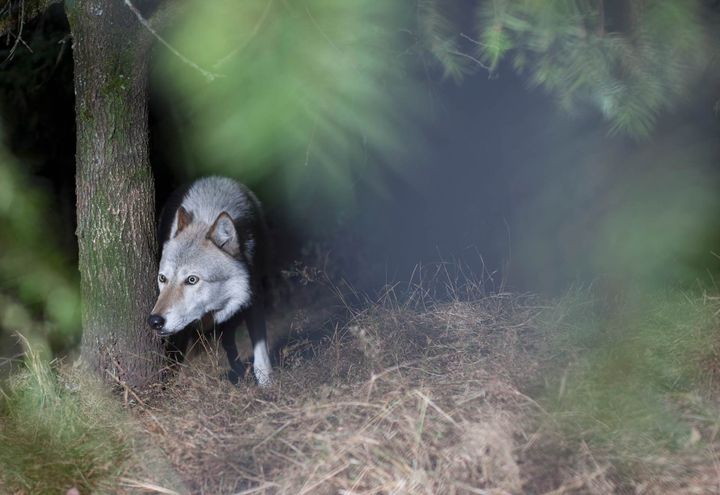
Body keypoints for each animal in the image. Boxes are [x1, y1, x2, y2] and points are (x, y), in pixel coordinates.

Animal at [147, 176, 272, 386]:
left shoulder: (254, 297)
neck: (207, 216)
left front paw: (267, 382)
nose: (154, 321)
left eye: (191, 280)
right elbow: (175, 354)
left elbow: (260, 345)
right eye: (162, 278)